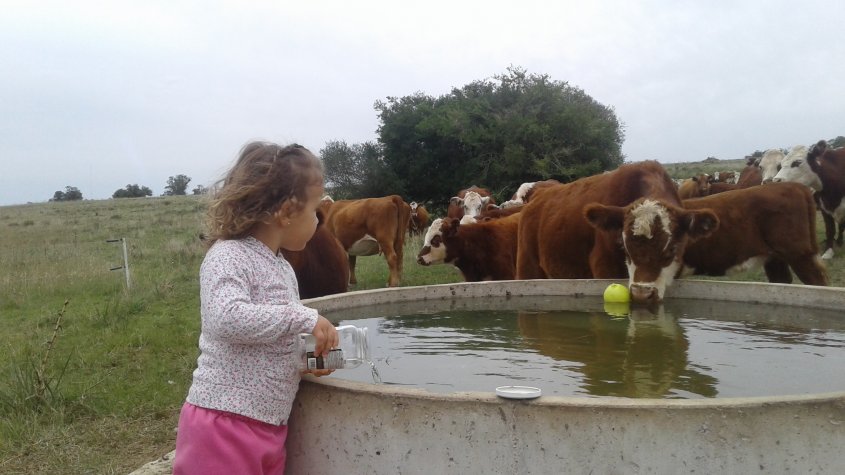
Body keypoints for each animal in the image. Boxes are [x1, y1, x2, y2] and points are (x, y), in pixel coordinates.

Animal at [516, 162, 704, 304]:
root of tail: (538, 197)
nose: (642, 295)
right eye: (625, 249)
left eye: (672, 249)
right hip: (528, 268)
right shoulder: (604, 267)